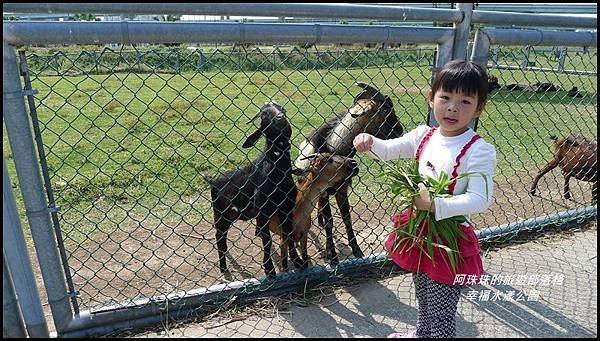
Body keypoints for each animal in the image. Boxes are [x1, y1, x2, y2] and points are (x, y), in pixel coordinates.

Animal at [205, 102, 304, 278]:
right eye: (264, 115)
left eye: (283, 109)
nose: (280, 117)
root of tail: (213, 181)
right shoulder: (263, 212)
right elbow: (267, 241)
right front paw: (269, 269)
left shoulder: (286, 208)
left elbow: (289, 235)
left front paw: (297, 261)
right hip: (220, 214)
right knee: (219, 236)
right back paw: (223, 267)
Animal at [294, 81, 404, 262]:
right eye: (385, 111)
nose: (400, 131)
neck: (332, 146)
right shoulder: (323, 190)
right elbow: (330, 221)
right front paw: (331, 254)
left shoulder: (342, 188)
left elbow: (347, 218)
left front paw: (357, 250)